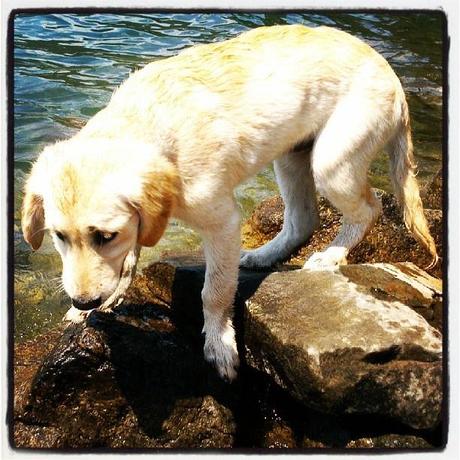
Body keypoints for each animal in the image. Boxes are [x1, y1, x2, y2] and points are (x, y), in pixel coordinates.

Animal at [22, 23, 438, 380]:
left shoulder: (222, 221)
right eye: (59, 237)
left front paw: (219, 345)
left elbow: (215, 290)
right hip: (291, 156)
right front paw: (103, 300)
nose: (83, 302)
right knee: (303, 219)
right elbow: (131, 254)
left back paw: (331, 256)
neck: (148, 125)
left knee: (368, 209)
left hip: (333, 159)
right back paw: (265, 255)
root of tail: (392, 76)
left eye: (105, 236)